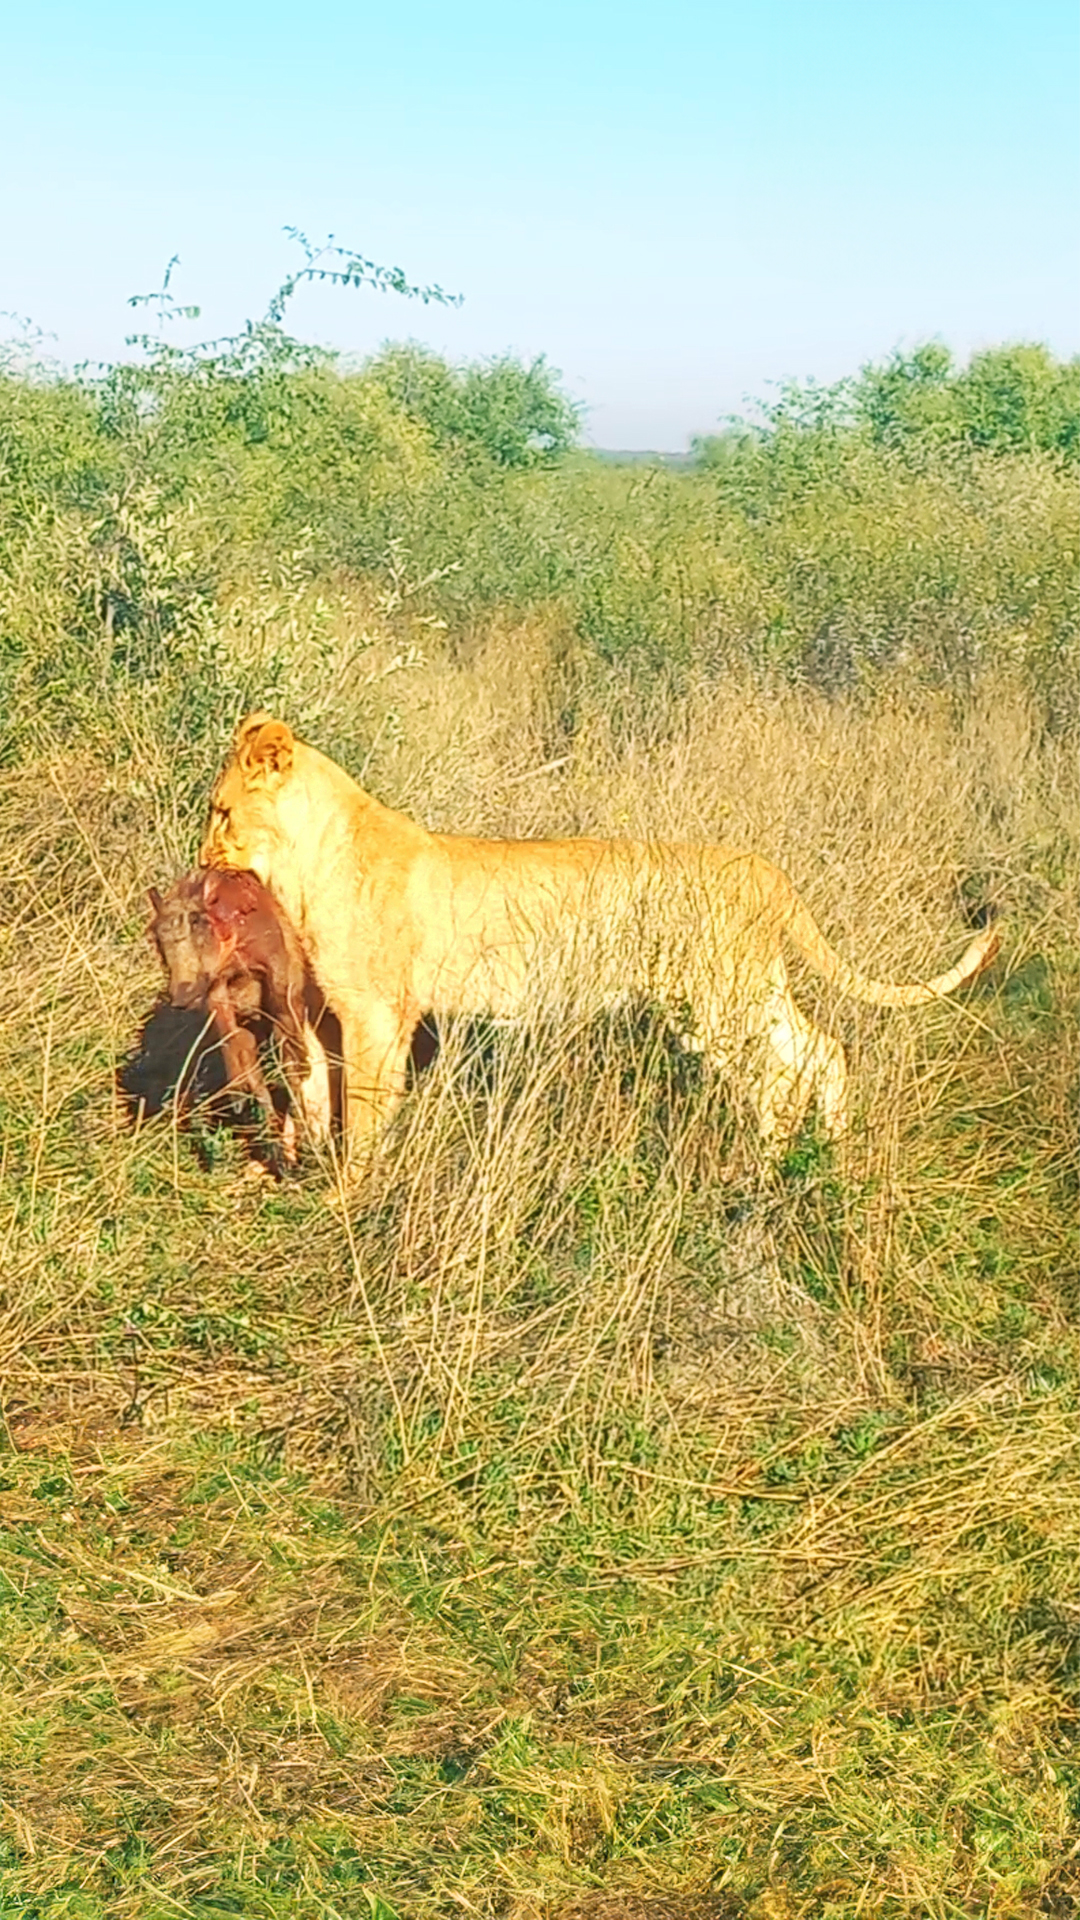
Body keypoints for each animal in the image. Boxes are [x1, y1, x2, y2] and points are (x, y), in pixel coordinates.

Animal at [200, 713, 1000, 1169]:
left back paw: (772, 1166)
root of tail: (762, 869)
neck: (304, 863)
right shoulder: (325, 1015)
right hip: (734, 993)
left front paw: (352, 1192)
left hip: (718, 999)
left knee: (785, 1068)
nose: (201, 861)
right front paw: (311, 1174)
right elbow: (316, 1096)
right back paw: (817, 1158)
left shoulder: (377, 1015)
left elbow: (365, 1111)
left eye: (221, 811)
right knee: (817, 1051)